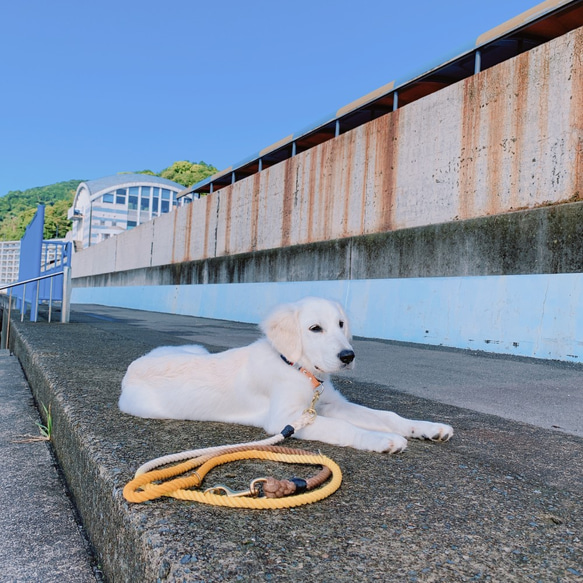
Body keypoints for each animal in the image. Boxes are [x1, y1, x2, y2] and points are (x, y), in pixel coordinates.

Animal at [121, 298, 454, 454]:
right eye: (315, 328)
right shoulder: (287, 419)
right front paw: (382, 439)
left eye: (341, 324)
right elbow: (344, 428)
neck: (297, 368)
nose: (348, 357)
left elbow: (387, 415)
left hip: (195, 348)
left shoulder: (332, 404)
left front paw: (426, 428)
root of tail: (133, 366)